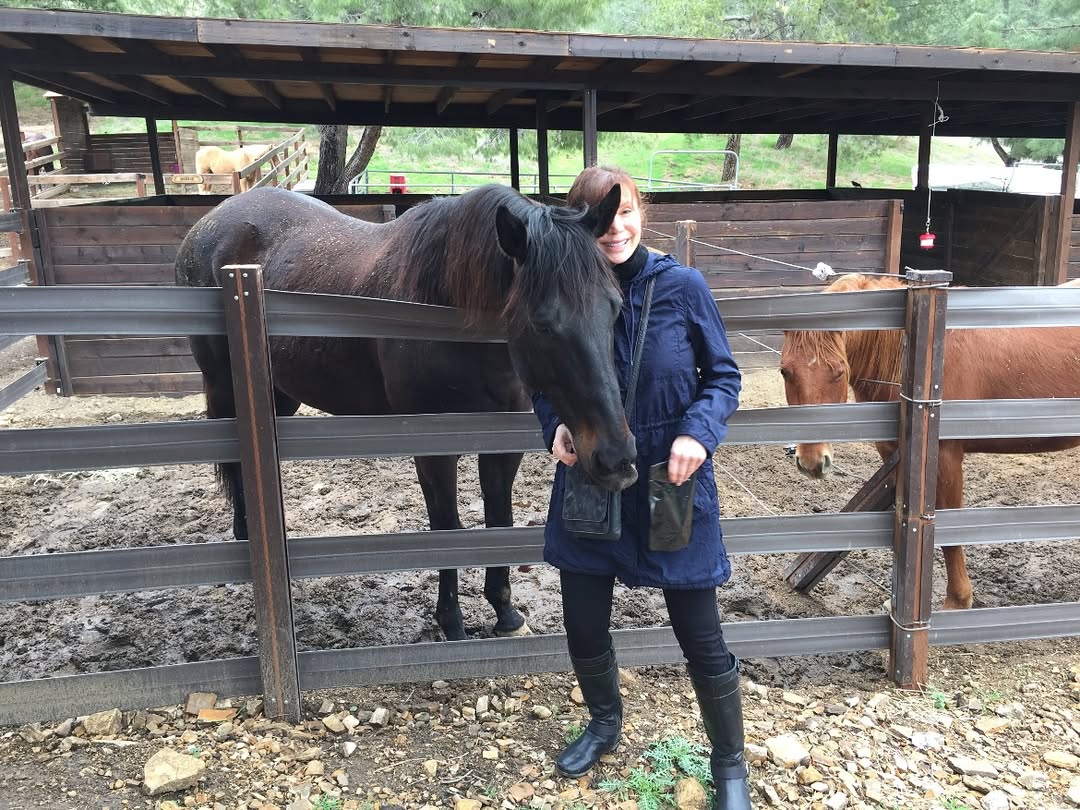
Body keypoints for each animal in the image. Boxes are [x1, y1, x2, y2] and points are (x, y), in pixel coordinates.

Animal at [175, 183, 636, 641]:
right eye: (542, 323)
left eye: (614, 306)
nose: (617, 457)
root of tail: (209, 222)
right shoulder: (433, 448)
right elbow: (446, 527)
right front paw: (452, 622)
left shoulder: (501, 446)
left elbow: (498, 520)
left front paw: (505, 613)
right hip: (225, 387)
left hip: (279, 394)